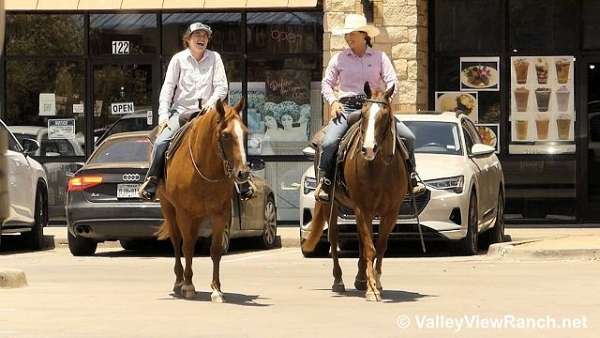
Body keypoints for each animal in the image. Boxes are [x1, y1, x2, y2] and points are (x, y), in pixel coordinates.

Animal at [156, 97, 250, 304]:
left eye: (245, 133)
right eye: (225, 135)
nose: (243, 173)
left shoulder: (219, 213)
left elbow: (215, 250)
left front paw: (216, 289)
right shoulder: (183, 213)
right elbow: (187, 246)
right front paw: (188, 285)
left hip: (198, 215)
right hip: (168, 207)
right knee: (177, 240)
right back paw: (179, 281)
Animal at [304, 83, 408, 302]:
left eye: (385, 115)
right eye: (364, 114)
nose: (368, 149)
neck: (379, 168)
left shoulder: (391, 212)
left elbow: (380, 247)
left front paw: (376, 282)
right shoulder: (363, 208)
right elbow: (370, 248)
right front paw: (372, 290)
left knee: (360, 239)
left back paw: (361, 279)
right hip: (331, 205)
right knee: (334, 238)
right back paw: (339, 281)